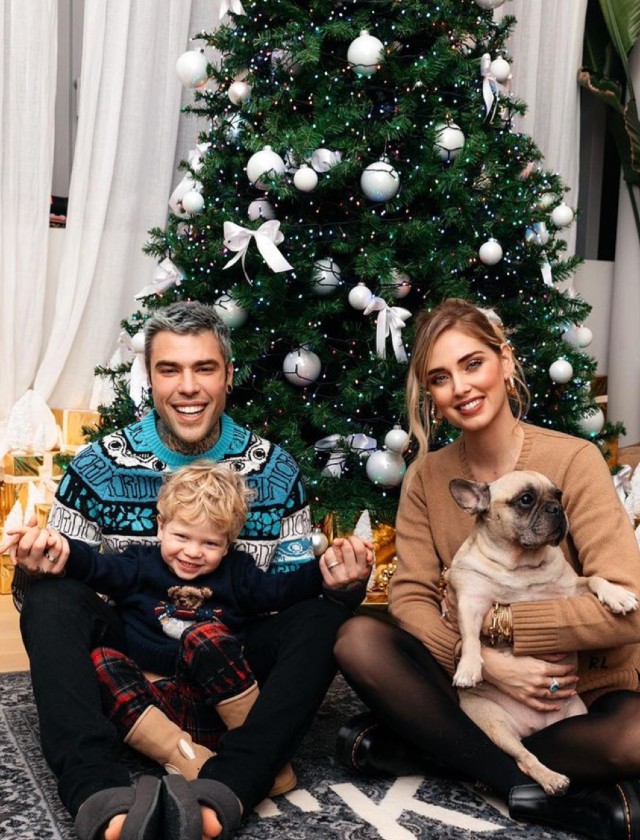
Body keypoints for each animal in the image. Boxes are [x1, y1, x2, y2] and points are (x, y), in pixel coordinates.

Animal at [446, 470, 638, 795]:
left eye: (558, 495)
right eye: (526, 499)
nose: (557, 509)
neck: (521, 564)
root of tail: (531, 729)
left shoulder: (572, 589)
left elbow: (596, 579)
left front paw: (618, 595)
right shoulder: (472, 601)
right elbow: (470, 638)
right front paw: (469, 669)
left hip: (576, 712)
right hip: (495, 725)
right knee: (524, 757)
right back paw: (552, 779)